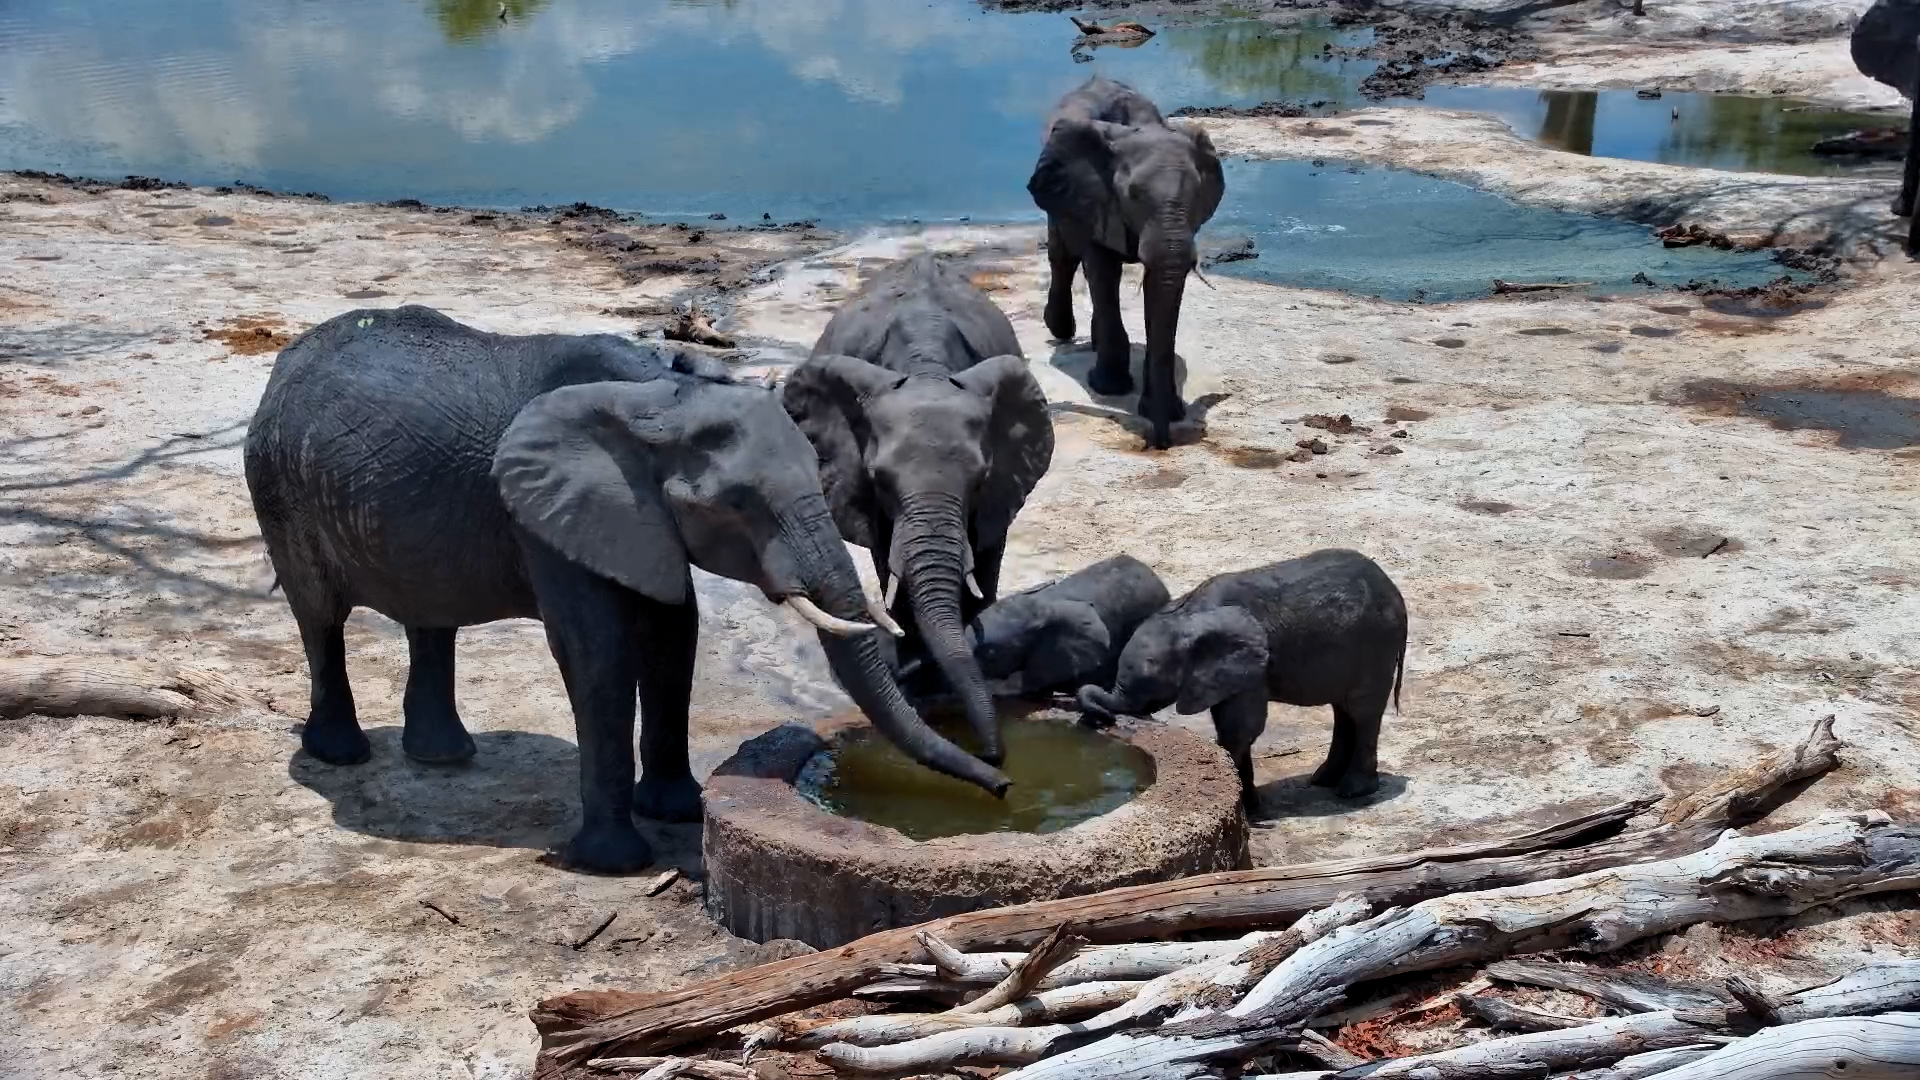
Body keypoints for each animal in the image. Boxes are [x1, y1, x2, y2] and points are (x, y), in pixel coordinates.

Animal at [244, 305, 1007, 874]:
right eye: (736, 505)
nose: (1001, 777)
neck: (655, 396)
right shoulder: (544, 513)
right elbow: (599, 650)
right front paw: (616, 862)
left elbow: (673, 634)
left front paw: (678, 810)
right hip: (277, 483)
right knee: (319, 616)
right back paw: (341, 753)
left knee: (431, 618)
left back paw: (444, 757)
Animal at [783, 254, 1054, 763]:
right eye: (880, 480)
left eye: (980, 479)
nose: (995, 758)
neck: (926, 369)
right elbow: (888, 555)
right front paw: (921, 685)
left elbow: (986, 551)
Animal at [1029, 75, 1224, 450]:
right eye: (1133, 194)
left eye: (1196, 196)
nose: (1161, 443)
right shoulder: (1091, 195)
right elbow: (1102, 269)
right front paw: (1108, 388)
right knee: (1064, 255)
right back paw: (1061, 330)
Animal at [1077, 549, 1406, 811]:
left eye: (1149, 681)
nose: (1101, 721)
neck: (1188, 613)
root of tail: (1396, 594)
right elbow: (1232, 726)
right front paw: (1250, 805)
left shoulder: (1253, 667)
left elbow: (1241, 729)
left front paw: (1248, 810)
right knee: (1343, 709)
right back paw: (1323, 780)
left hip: (1377, 644)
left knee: (1362, 711)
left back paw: (1352, 791)